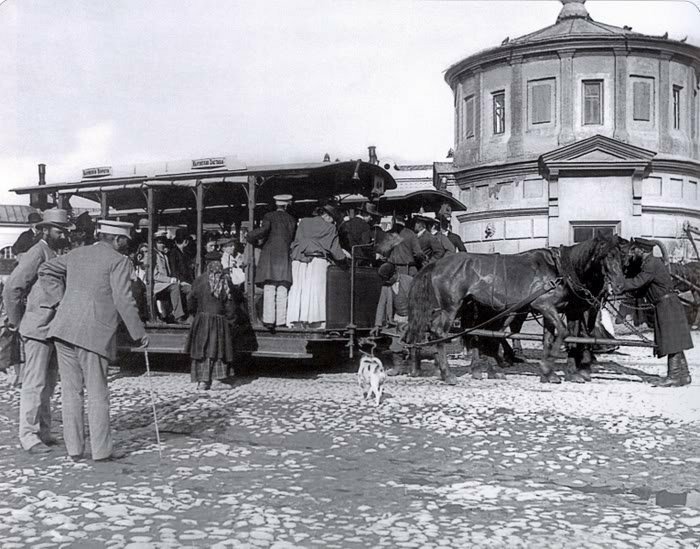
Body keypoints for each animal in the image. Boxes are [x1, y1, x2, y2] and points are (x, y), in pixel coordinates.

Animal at [402, 233, 628, 384]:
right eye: (605, 256)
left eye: (622, 257)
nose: (619, 285)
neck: (559, 269)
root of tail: (437, 263)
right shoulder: (543, 304)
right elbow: (563, 332)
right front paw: (548, 367)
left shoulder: (553, 310)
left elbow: (551, 338)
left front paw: (550, 373)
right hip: (452, 307)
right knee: (439, 331)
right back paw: (446, 373)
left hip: (469, 308)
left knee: (471, 334)